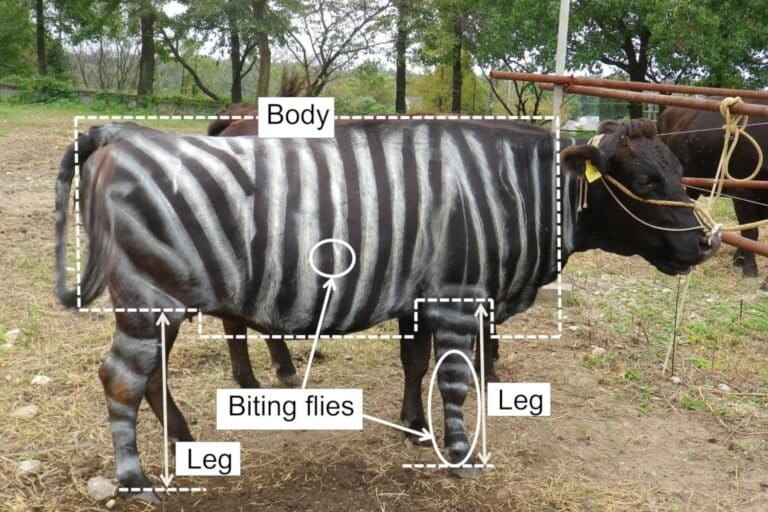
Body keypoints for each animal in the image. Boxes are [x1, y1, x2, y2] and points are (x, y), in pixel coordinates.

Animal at [55, 118, 718, 502]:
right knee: (121, 379)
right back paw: (135, 481)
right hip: (151, 299)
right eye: (646, 182)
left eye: (681, 176)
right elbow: (454, 378)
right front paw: (460, 455)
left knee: (149, 377)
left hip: (167, 302)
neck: (509, 190)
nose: (707, 245)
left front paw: (414, 428)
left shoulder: (419, 296)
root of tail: (119, 134)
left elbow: (414, 363)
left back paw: (184, 441)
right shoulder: (455, 296)